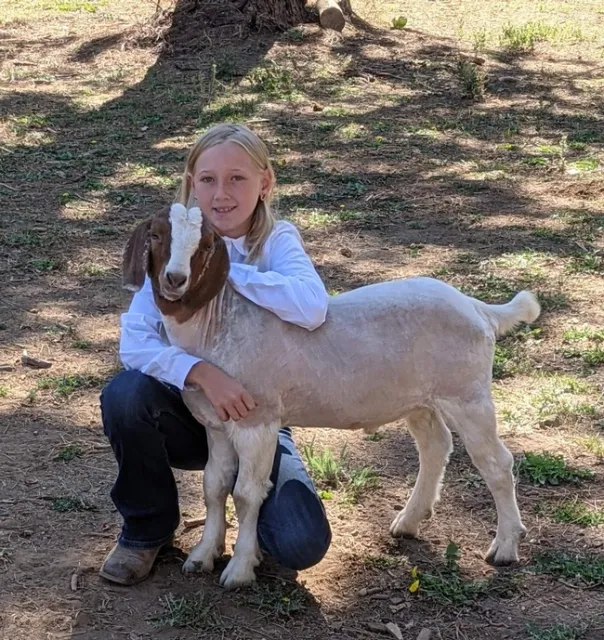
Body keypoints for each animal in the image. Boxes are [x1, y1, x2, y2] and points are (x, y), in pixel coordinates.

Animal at [122, 204, 541, 589]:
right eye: (156, 235)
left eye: (207, 244)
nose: (175, 279)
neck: (217, 324)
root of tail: (478, 308)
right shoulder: (216, 424)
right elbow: (214, 486)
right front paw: (203, 556)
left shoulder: (258, 420)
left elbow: (246, 494)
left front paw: (239, 570)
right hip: (420, 399)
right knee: (435, 446)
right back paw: (408, 521)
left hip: (467, 392)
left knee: (496, 463)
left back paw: (505, 546)